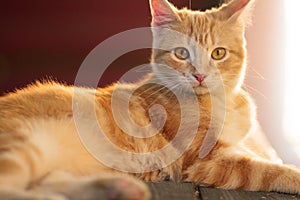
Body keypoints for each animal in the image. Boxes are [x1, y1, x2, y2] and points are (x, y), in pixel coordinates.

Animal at [0, 0, 300, 199]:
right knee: (13, 188)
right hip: (24, 142)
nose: (200, 75)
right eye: (181, 53)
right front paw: (292, 173)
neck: (220, 100)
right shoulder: (205, 160)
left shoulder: (234, 145)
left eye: (218, 53)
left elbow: (261, 156)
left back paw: (118, 188)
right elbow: (267, 170)